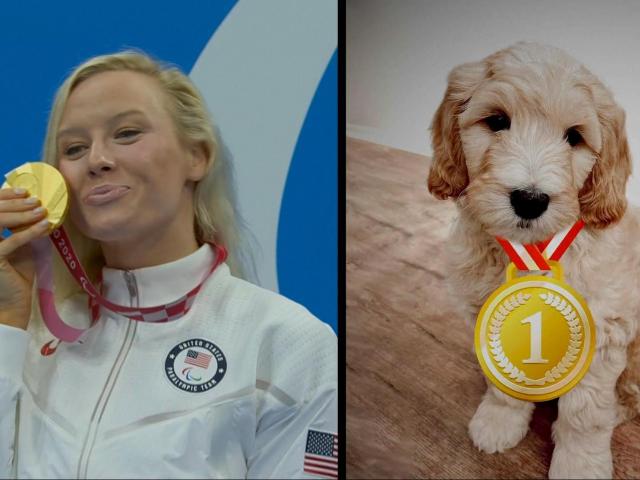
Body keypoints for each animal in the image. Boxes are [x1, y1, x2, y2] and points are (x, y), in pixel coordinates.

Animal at [428, 40, 640, 476]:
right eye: (497, 121)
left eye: (574, 137)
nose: (530, 199)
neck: (534, 253)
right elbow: (503, 384)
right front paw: (499, 421)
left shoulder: (603, 328)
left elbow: (585, 414)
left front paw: (579, 465)